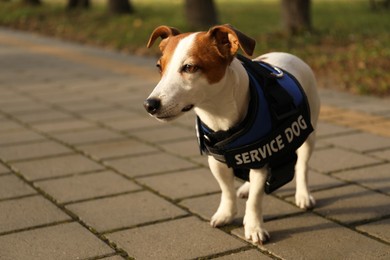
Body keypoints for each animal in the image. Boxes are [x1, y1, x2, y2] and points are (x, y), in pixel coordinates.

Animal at [143, 23, 320, 244]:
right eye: (159, 67)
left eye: (190, 67)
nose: (150, 105)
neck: (218, 116)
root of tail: (288, 54)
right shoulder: (217, 160)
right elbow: (226, 189)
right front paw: (226, 214)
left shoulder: (260, 155)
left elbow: (255, 200)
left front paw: (254, 227)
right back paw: (245, 188)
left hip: (309, 135)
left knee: (302, 166)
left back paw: (303, 195)